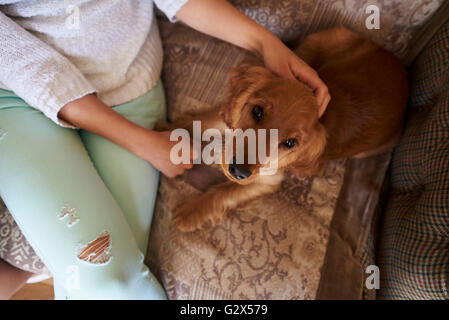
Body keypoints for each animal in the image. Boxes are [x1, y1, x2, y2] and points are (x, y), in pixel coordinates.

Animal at [159, 27, 408, 231]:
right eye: (257, 112)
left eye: (290, 143)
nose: (238, 171)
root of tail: (403, 70)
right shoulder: (229, 121)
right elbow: (195, 123)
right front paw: (165, 137)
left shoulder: (266, 180)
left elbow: (223, 193)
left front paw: (189, 213)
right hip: (325, 39)